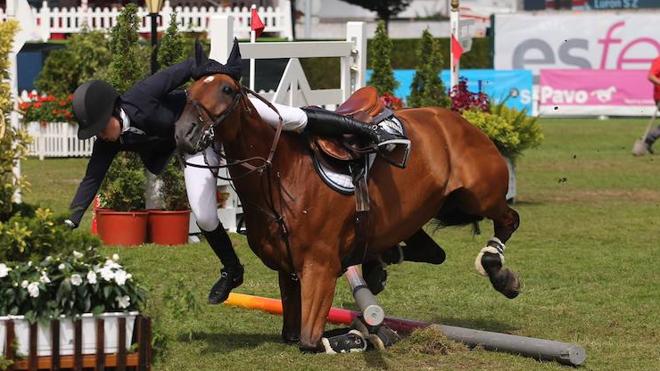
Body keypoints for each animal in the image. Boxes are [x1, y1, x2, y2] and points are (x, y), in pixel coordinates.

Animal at [174, 75, 520, 352]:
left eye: (227, 90)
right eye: (188, 92)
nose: (183, 134)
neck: (282, 175)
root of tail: (457, 119)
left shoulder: (320, 268)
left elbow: (311, 341)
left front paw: (365, 336)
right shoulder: (289, 272)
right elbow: (292, 334)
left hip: (478, 197)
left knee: (509, 219)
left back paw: (500, 273)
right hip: (419, 214)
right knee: (433, 252)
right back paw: (380, 262)